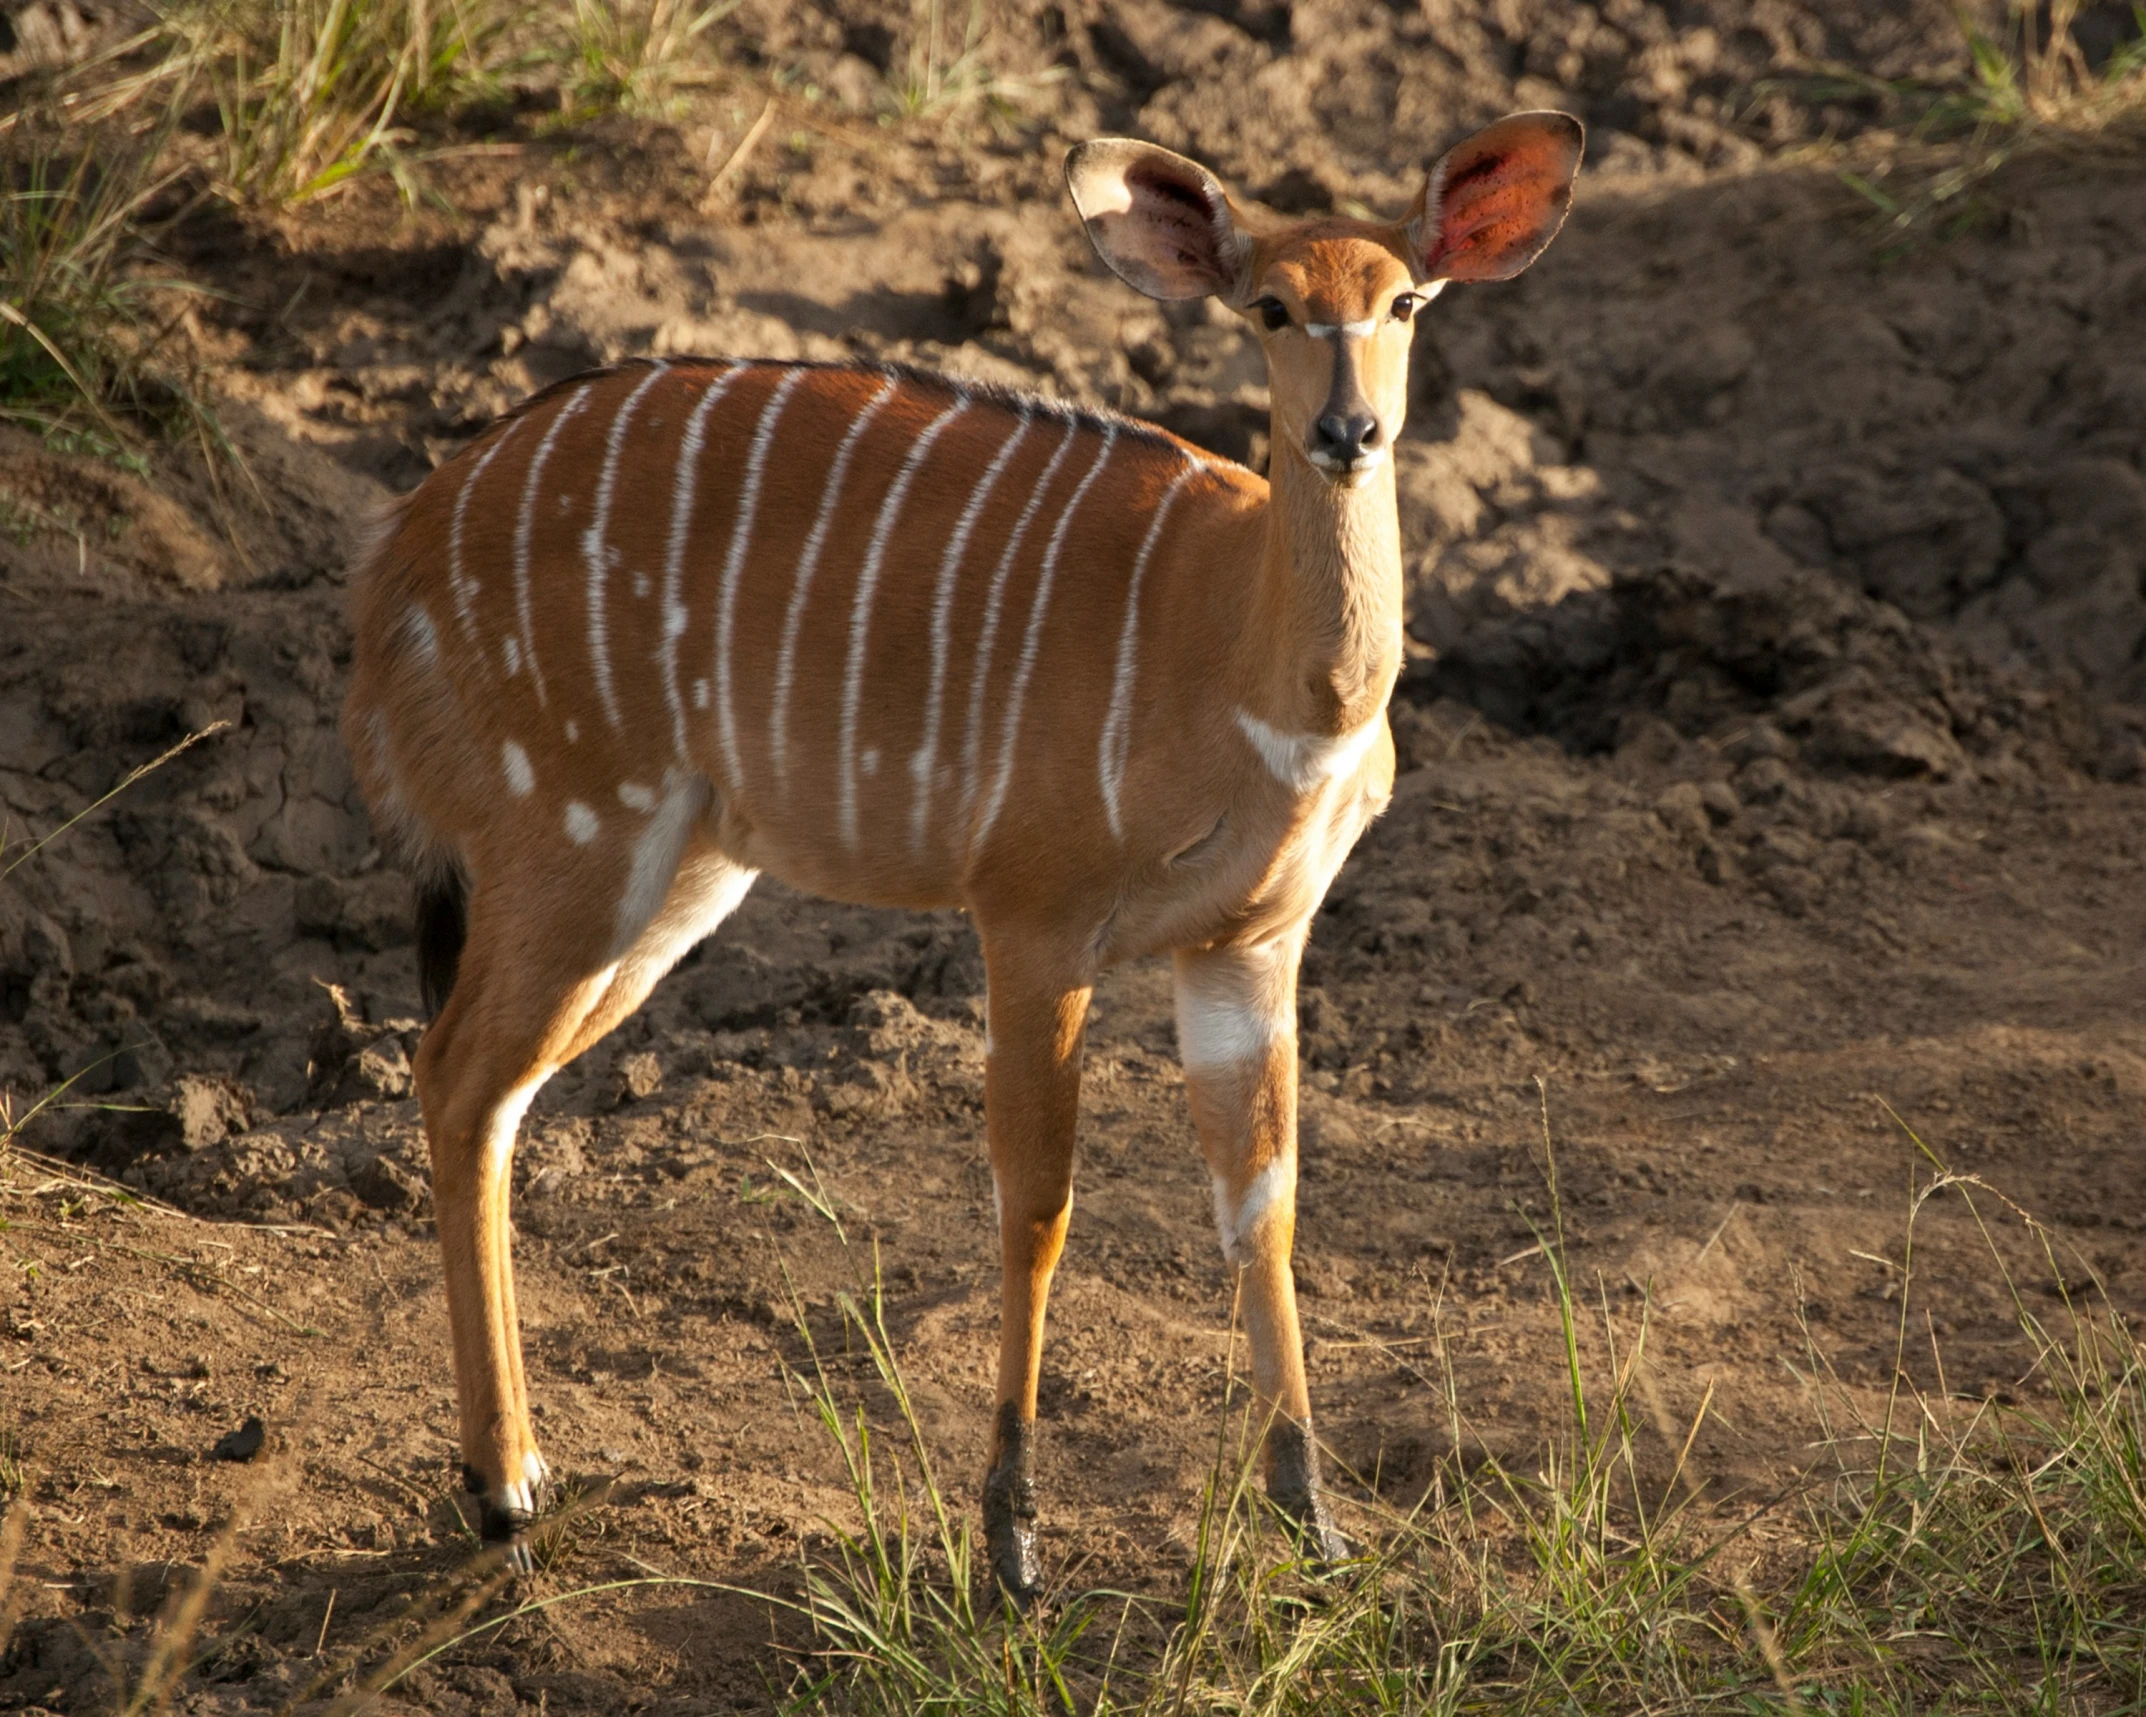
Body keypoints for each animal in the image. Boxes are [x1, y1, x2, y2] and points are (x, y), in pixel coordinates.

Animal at [339, 113, 1579, 1605]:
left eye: (1401, 302)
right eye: (1271, 308)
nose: (1348, 431)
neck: (1242, 654)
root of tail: (396, 553)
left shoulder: (1248, 944)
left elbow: (1263, 1203)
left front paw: (1314, 1523)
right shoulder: (1032, 918)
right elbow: (1035, 1202)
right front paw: (1011, 1537)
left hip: (676, 873)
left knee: (492, 1090)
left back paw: (516, 1473)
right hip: (574, 834)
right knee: (457, 1073)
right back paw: (506, 1485)